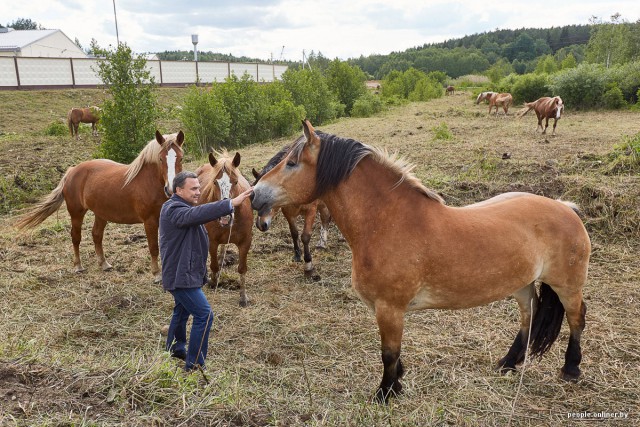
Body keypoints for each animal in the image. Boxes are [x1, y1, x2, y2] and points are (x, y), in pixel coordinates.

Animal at [15, 130, 185, 284]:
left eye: (181, 158)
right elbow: (154, 247)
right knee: (76, 237)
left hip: (101, 214)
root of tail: (71, 171)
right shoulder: (149, 221)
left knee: (96, 235)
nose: (170, 188)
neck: (150, 182)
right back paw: (78, 266)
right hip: (76, 213)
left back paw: (104, 263)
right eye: (161, 159)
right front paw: (157, 274)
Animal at [196, 150, 254, 308]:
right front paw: (213, 281)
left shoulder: (245, 242)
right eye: (215, 182)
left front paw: (243, 297)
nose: (225, 216)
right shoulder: (212, 241)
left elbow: (242, 268)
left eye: (235, 181)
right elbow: (214, 266)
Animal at [251, 142, 332, 280]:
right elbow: (294, 233)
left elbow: (305, 236)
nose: (261, 225)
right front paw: (297, 255)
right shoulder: (288, 213)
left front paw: (308, 266)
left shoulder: (311, 210)